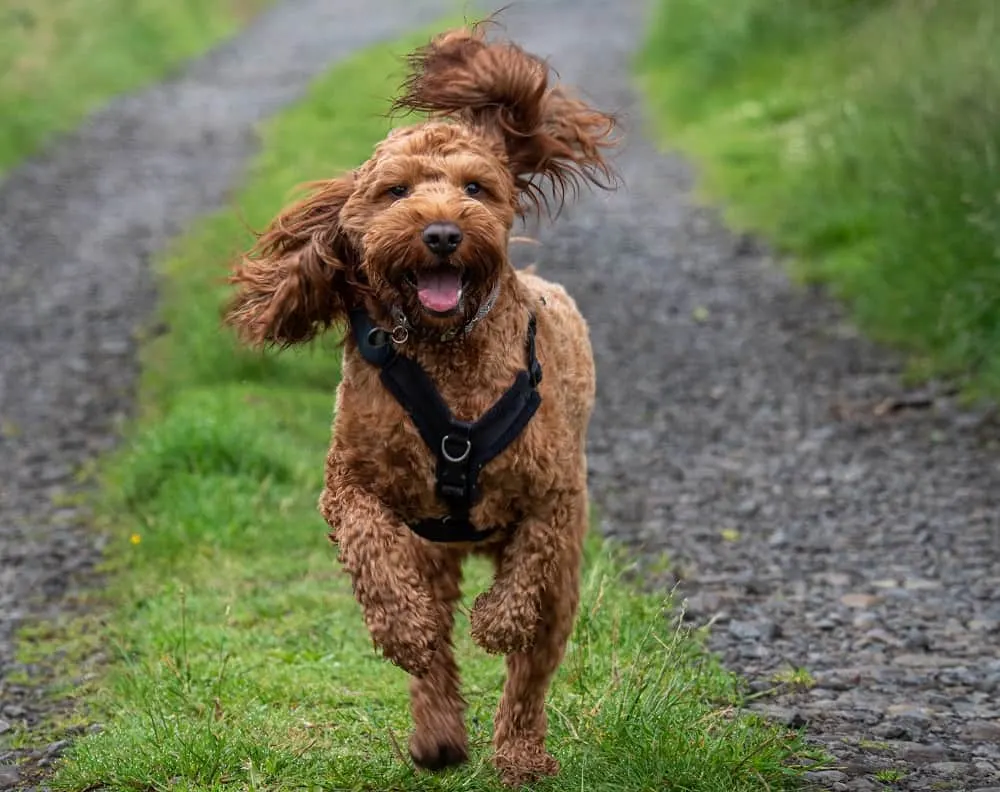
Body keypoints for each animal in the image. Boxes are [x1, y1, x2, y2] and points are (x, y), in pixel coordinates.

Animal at [225, 23, 616, 784]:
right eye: (396, 191)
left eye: (476, 188)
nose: (440, 233)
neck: (447, 353)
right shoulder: (350, 485)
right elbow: (375, 560)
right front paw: (404, 629)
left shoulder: (554, 495)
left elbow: (527, 577)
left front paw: (497, 620)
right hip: (431, 553)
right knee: (434, 654)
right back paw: (437, 734)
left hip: (561, 580)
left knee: (532, 669)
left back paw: (520, 757)